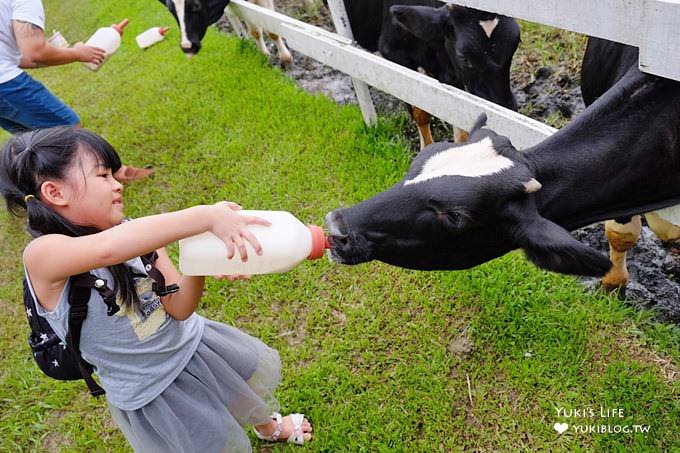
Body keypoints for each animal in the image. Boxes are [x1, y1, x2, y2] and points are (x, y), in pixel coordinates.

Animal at [159, 0, 292, 64]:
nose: (187, 47)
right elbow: (254, 31)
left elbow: (272, 31)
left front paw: (286, 58)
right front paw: (264, 54)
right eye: (170, 9)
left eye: (196, 5)